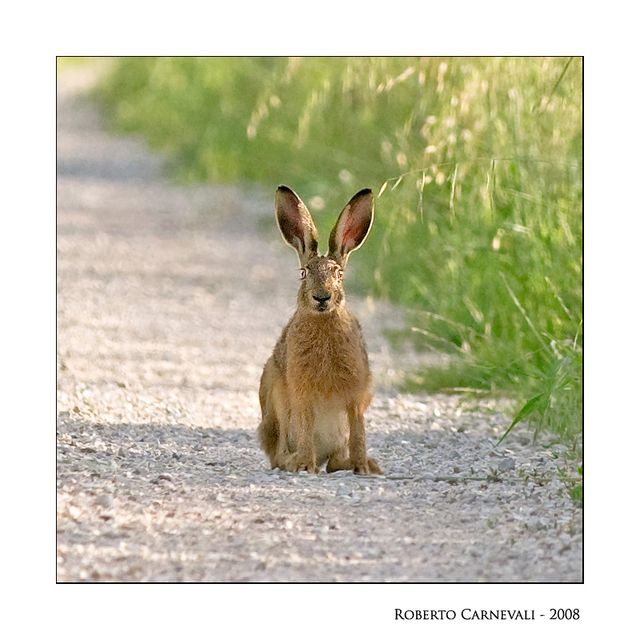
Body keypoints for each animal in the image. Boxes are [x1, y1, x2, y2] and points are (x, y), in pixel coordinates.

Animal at [257, 185, 382, 475]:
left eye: (339, 274)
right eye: (304, 273)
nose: (322, 297)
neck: (324, 321)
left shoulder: (356, 394)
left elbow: (359, 432)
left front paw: (363, 467)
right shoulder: (301, 390)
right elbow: (305, 426)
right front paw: (305, 465)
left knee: (334, 461)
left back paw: (365, 464)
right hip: (275, 396)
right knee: (279, 453)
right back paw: (295, 462)